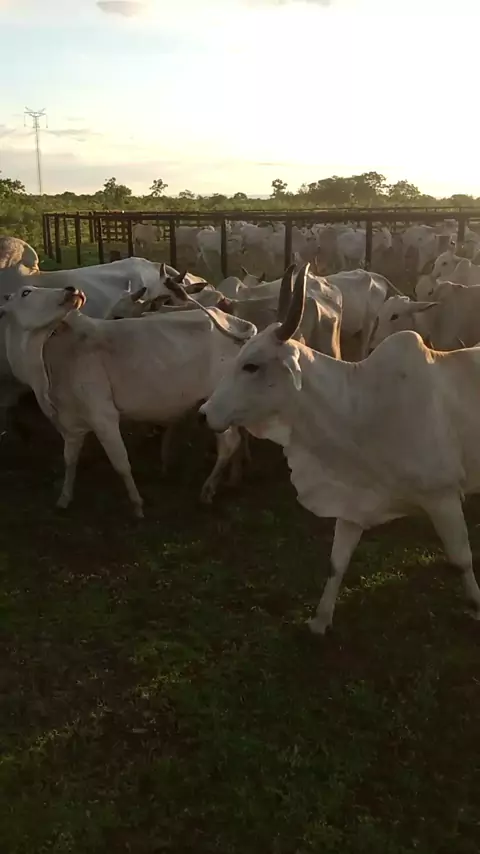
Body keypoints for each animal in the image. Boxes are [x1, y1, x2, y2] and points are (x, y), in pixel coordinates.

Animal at [0, 283, 257, 516]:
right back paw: (232, 478)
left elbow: (121, 463)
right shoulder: (71, 425)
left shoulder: (104, 417)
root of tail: (231, 321)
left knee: (229, 443)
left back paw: (207, 490)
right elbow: (70, 460)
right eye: (26, 292)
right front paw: (64, 498)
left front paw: (137, 504)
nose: (71, 289)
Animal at [199, 264, 480, 634]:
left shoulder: (443, 495)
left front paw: (475, 604)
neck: (360, 408)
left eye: (252, 365)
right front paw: (320, 620)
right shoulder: (352, 501)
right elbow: (336, 563)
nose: (205, 412)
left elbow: (462, 558)